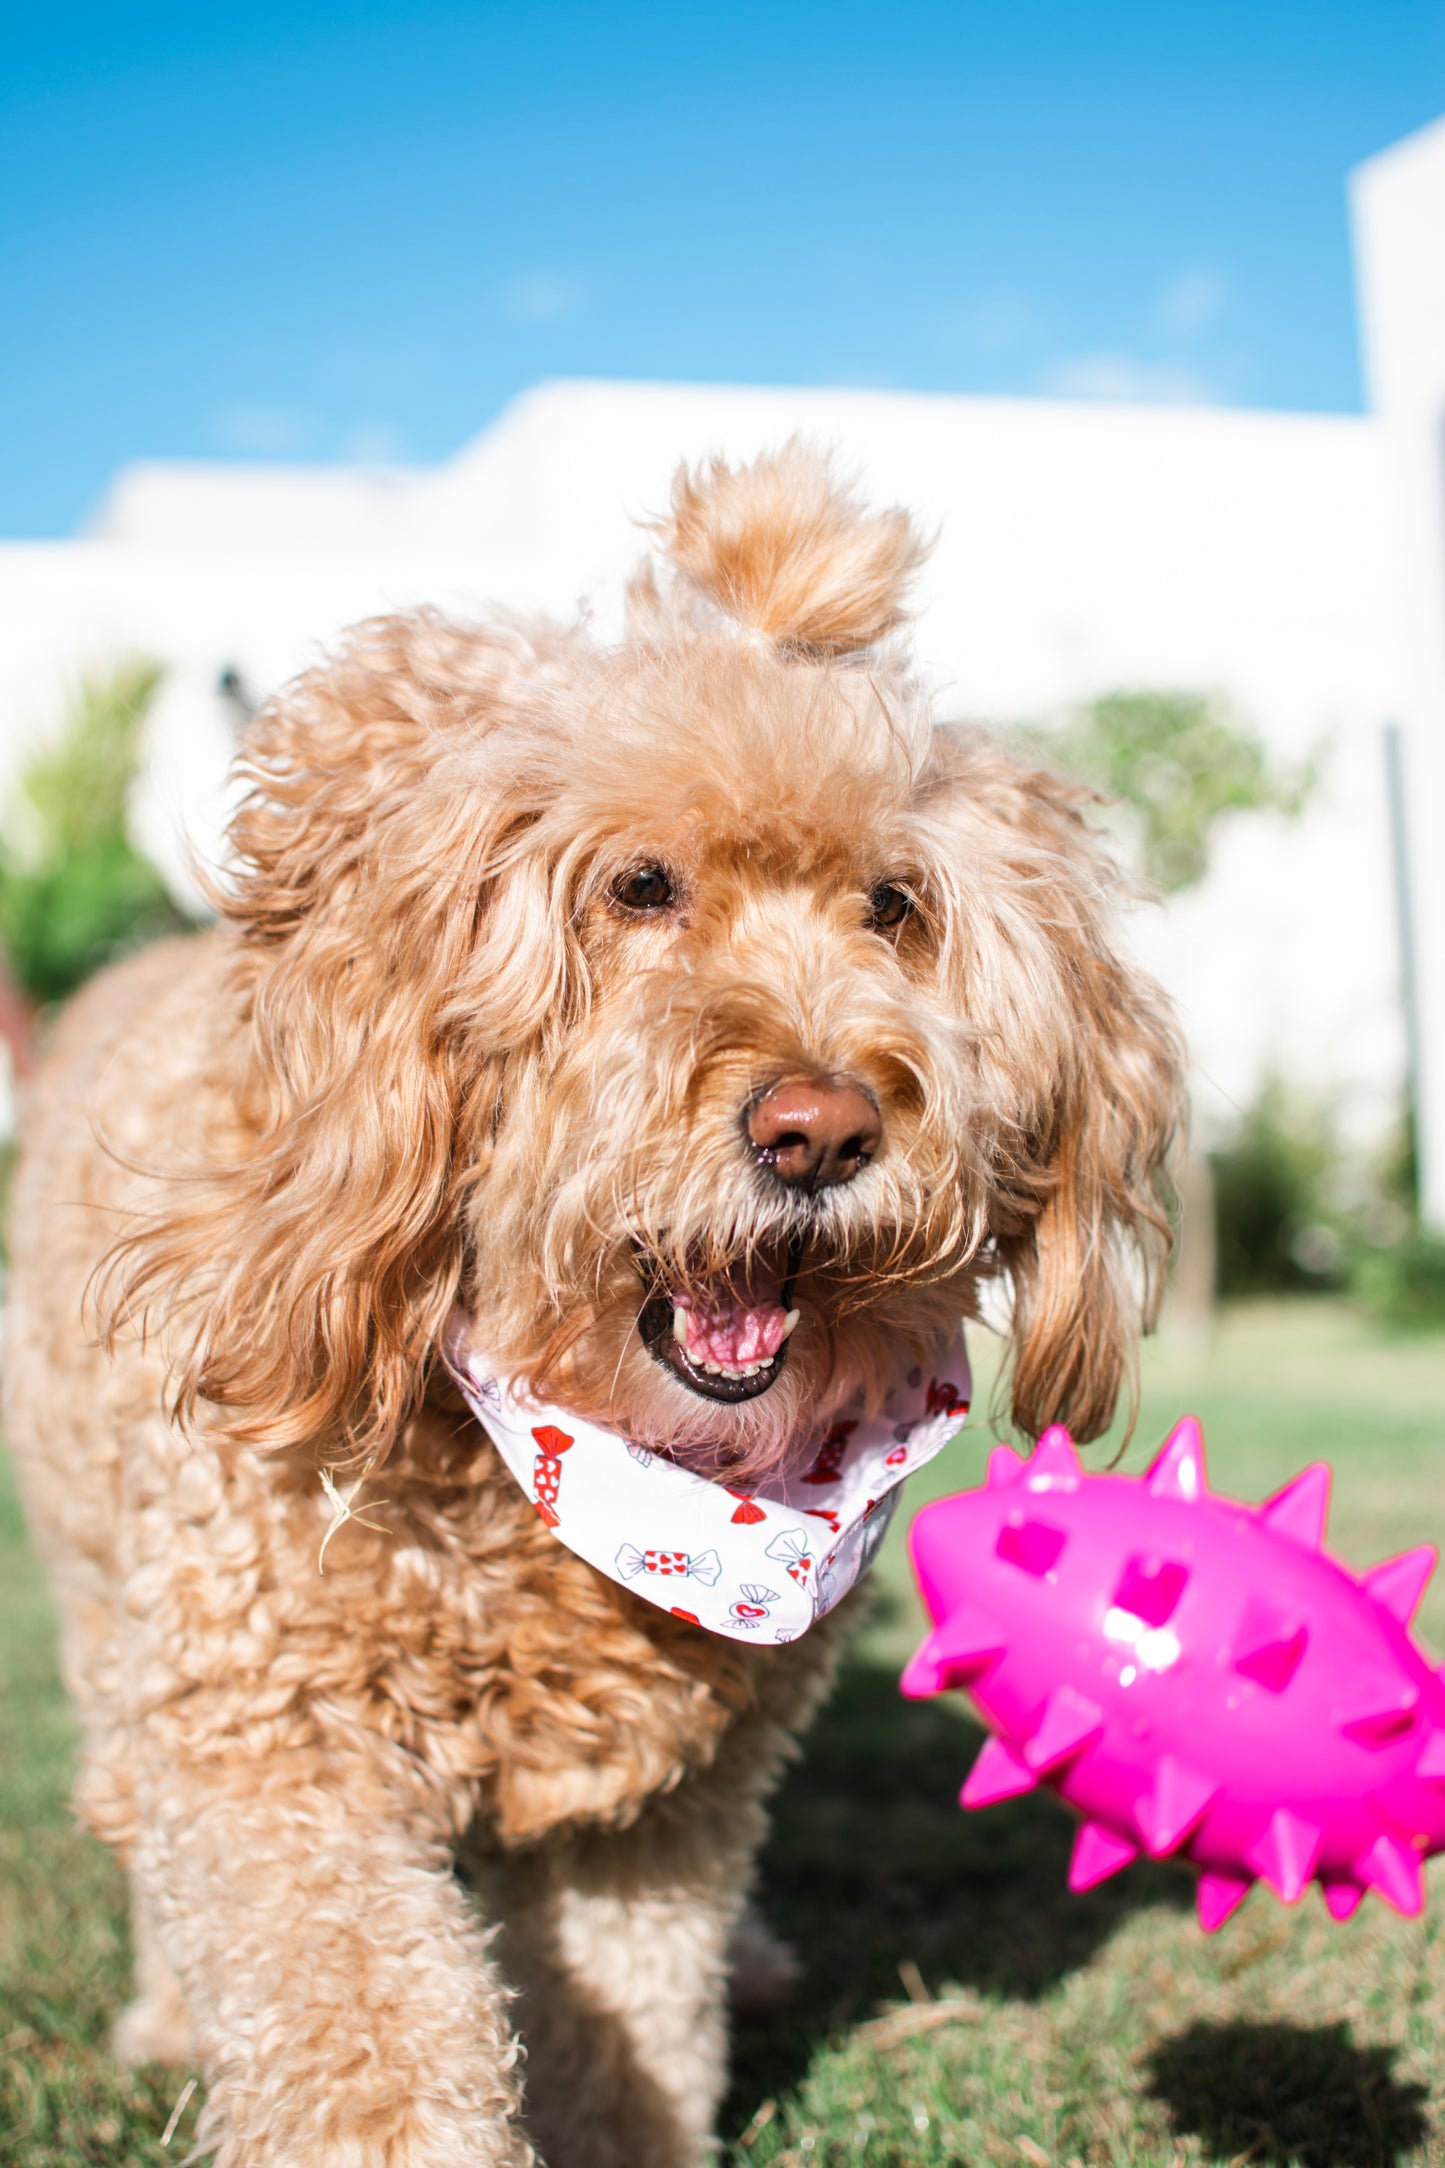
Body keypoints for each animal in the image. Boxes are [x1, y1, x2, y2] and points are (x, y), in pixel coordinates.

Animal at [5, 444, 1178, 2168]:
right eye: (638, 886)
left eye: (892, 905)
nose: (823, 1128)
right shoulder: (278, 1746)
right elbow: (363, 2049)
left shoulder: (658, 1806)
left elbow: (629, 2022)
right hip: (106, 1597)